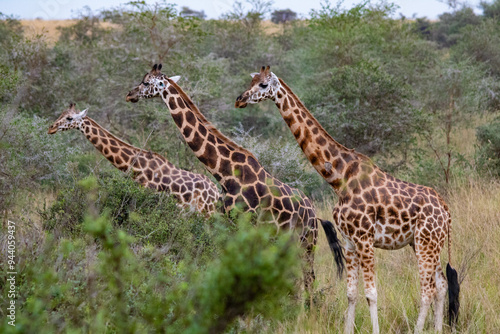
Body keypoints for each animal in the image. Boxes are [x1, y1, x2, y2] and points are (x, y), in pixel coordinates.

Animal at [48, 102, 221, 217]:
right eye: (61, 115)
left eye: (69, 118)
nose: (51, 128)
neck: (136, 167)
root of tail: (217, 192)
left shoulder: (150, 201)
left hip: (206, 212)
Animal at [124, 63, 344, 290]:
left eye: (146, 82)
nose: (130, 94)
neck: (225, 173)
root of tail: (314, 213)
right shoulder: (229, 225)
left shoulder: (246, 227)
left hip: (307, 243)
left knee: (308, 282)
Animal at [235, 66, 460, 334]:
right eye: (251, 81)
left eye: (263, 85)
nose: (239, 99)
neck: (339, 178)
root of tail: (446, 210)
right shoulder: (349, 241)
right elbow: (351, 294)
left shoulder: (365, 239)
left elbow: (371, 294)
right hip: (424, 243)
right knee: (442, 285)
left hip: (426, 243)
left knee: (428, 291)